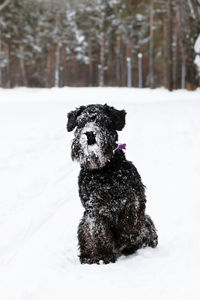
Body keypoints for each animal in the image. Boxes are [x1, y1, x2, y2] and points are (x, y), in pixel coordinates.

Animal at [67, 104, 158, 264]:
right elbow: (99, 233)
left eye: (103, 121)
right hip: (83, 222)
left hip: (147, 221)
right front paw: (103, 256)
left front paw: (126, 237)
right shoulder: (94, 209)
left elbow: (130, 220)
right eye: (81, 122)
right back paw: (87, 256)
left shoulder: (134, 197)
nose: (89, 134)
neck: (104, 170)